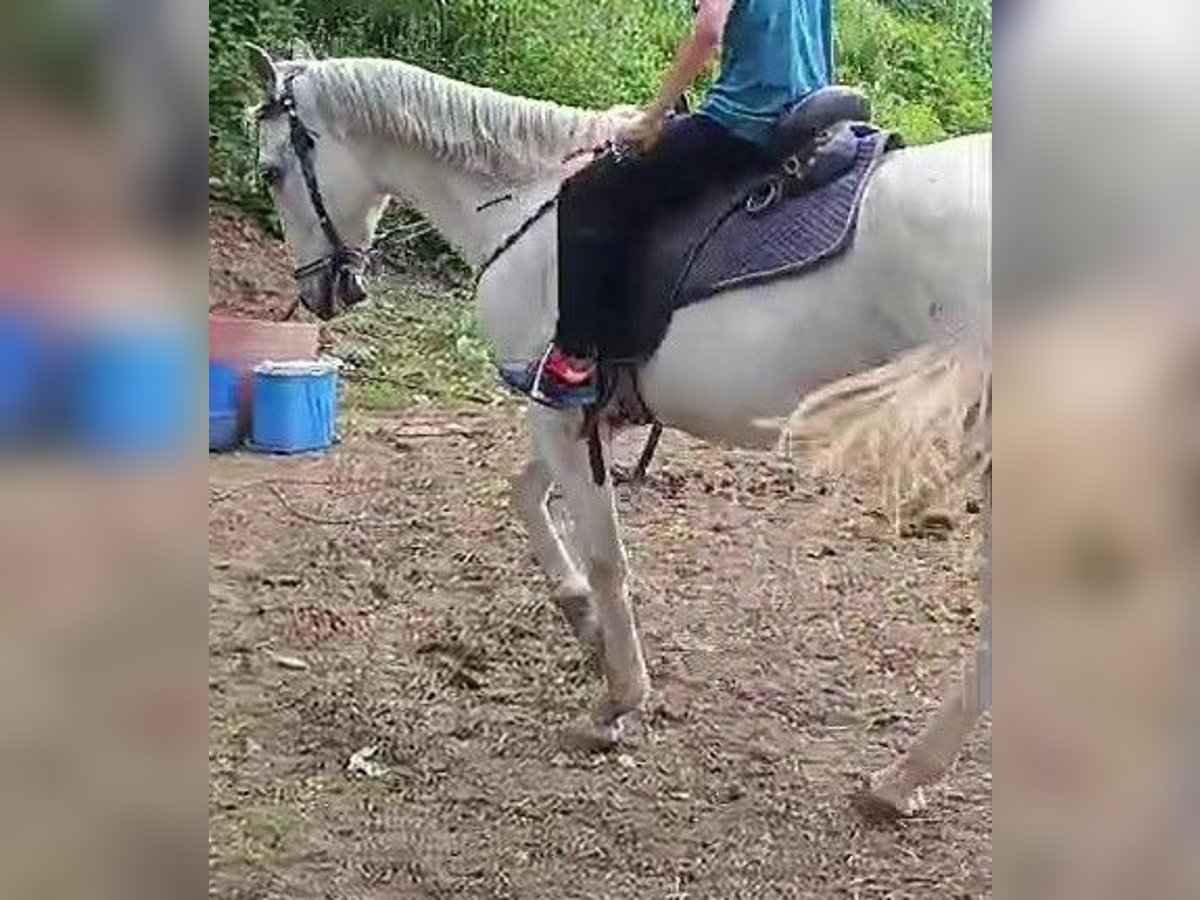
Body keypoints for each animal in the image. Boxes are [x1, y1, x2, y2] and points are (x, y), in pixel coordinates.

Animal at [248, 44, 988, 816]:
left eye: (271, 171)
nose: (321, 292)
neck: (526, 204)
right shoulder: (586, 408)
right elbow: (525, 495)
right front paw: (580, 616)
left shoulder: (557, 411)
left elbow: (605, 556)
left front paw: (618, 701)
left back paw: (903, 777)